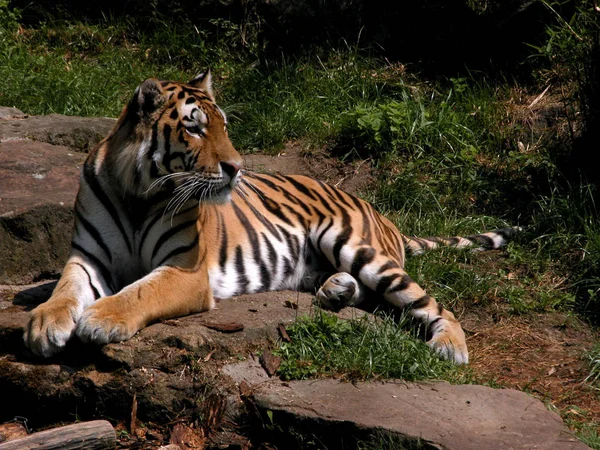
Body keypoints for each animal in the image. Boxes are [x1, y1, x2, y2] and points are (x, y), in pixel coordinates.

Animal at [23, 72, 516, 364]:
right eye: (195, 127)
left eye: (223, 125)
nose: (237, 167)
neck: (136, 193)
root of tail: (382, 213)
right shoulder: (88, 258)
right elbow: (66, 289)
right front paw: (45, 323)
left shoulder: (185, 270)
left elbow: (140, 291)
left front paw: (101, 318)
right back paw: (335, 290)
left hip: (354, 245)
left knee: (432, 304)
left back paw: (449, 347)